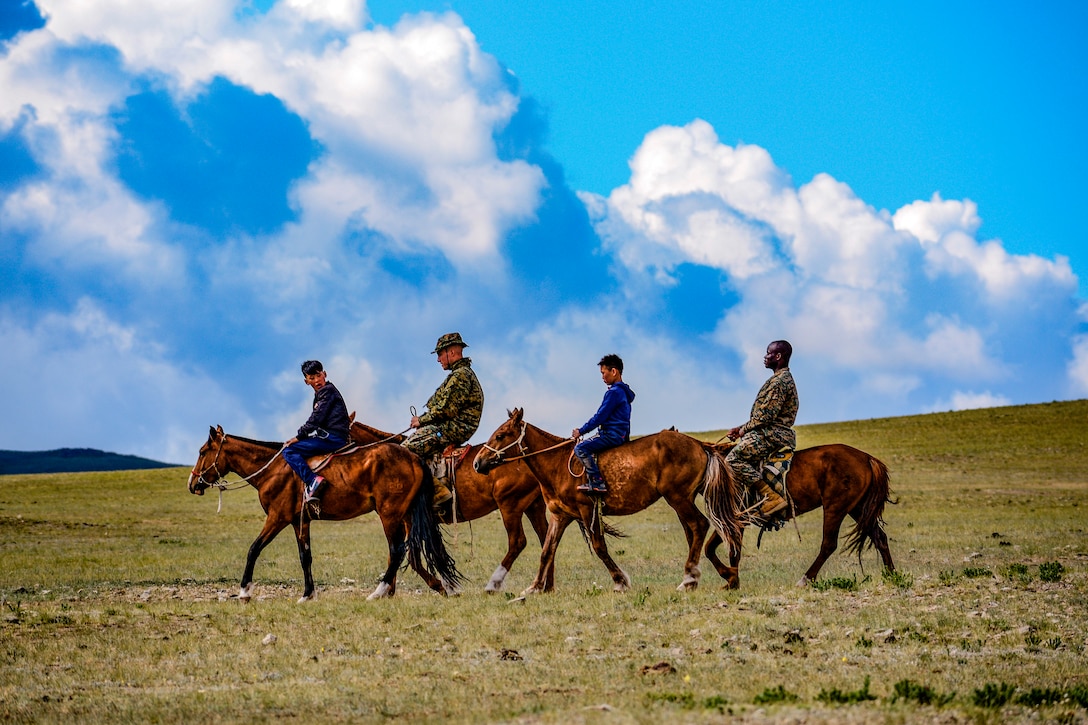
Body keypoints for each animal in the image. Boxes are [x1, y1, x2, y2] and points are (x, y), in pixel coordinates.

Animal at [187, 426, 459, 600]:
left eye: (202, 452)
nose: (192, 484)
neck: (273, 470)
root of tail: (413, 457)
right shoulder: (300, 522)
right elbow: (305, 556)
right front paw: (308, 594)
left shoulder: (277, 518)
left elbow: (254, 549)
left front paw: (244, 591)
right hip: (406, 514)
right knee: (411, 550)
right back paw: (438, 586)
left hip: (389, 514)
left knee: (397, 550)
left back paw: (379, 592)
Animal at [348, 415, 548, 592]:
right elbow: (397, 555)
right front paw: (389, 590)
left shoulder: (407, 520)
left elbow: (409, 556)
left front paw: (441, 587)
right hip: (534, 507)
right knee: (546, 537)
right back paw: (544, 587)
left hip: (510, 506)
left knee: (518, 542)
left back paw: (495, 584)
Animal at [472, 402, 744, 596]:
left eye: (501, 435)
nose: (477, 463)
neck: (557, 464)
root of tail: (698, 444)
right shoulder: (560, 516)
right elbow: (547, 550)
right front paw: (535, 586)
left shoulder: (587, 510)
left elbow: (599, 547)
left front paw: (620, 581)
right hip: (686, 498)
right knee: (702, 530)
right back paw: (721, 576)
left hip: (678, 498)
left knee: (700, 525)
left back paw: (690, 579)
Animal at [700, 439, 896, 587]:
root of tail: (868, 458)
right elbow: (712, 548)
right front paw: (731, 580)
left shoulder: (736, 520)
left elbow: (729, 551)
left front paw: (732, 581)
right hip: (859, 509)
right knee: (880, 537)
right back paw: (892, 575)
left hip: (835, 507)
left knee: (829, 544)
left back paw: (805, 579)